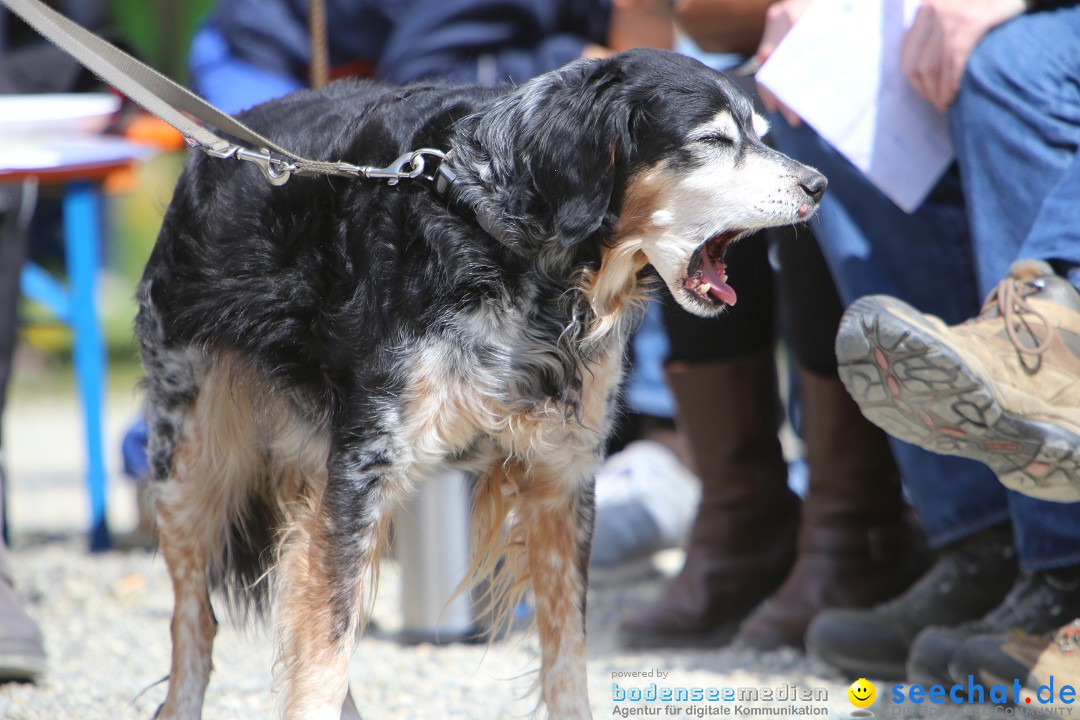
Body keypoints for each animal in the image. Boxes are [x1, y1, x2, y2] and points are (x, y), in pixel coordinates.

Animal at [135, 47, 825, 716]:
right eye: (713, 140)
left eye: (761, 133)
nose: (818, 184)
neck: (506, 234)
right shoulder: (362, 474)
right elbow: (323, 659)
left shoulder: (562, 480)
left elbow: (567, 661)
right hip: (191, 468)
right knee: (195, 626)